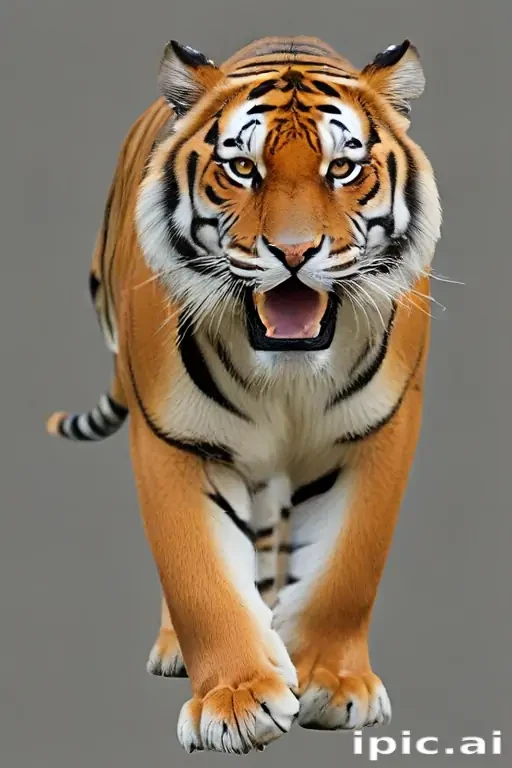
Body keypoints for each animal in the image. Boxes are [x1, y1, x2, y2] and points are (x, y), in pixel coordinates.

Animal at [46, 35, 441, 754]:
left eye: (343, 168)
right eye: (241, 168)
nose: (293, 252)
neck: (287, 373)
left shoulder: (380, 429)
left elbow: (348, 567)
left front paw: (332, 683)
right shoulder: (175, 437)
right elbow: (200, 576)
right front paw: (235, 701)